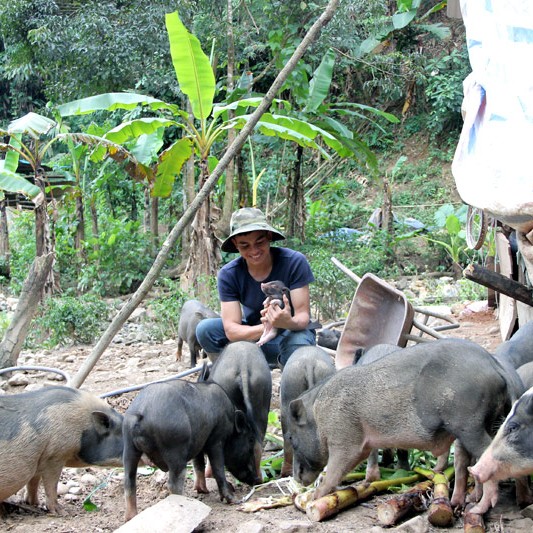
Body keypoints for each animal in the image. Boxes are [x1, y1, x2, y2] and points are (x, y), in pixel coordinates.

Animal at [123, 378, 260, 520]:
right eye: (250, 439)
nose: (258, 479)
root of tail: (141, 413)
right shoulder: (217, 439)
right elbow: (218, 468)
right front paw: (234, 500)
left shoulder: (198, 443)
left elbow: (198, 464)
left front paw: (203, 490)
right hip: (175, 450)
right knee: (173, 483)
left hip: (128, 448)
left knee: (129, 482)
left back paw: (130, 517)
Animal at [286, 336, 516, 512]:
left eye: (291, 438)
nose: (296, 477)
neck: (318, 415)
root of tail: (494, 365)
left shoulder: (345, 440)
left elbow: (334, 472)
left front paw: (313, 500)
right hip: (485, 422)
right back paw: (466, 501)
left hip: (469, 424)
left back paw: (479, 507)